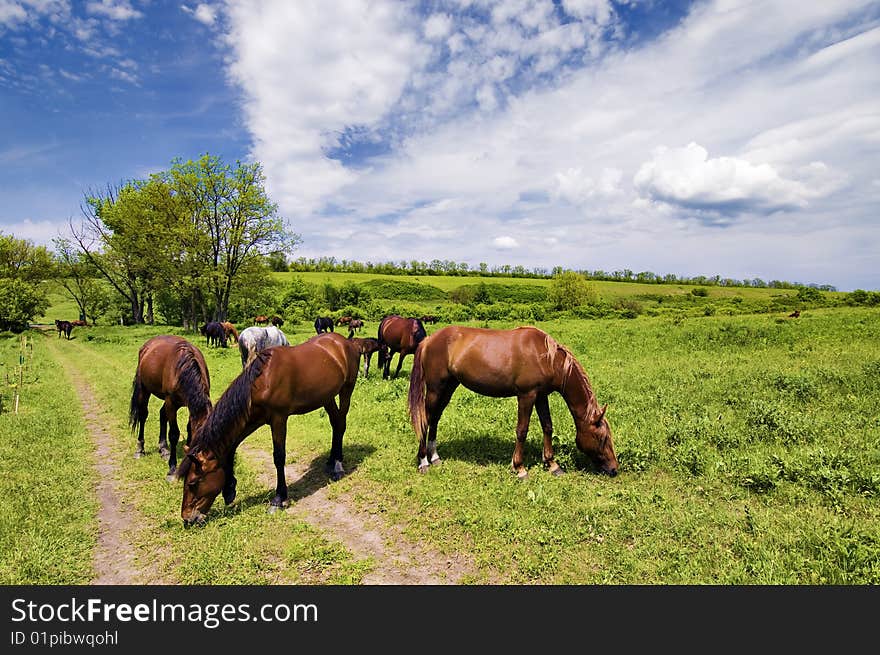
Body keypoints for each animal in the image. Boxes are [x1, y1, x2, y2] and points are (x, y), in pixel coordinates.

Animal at [128, 336, 212, 480]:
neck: (183, 369)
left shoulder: (190, 406)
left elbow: (189, 429)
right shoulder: (171, 403)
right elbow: (173, 434)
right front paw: (172, 469)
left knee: (162, 414)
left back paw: (164, 449)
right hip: (144, 389)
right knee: (143, 415)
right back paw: (140, 449)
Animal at [178, 334, 360, 528]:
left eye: (193, 483)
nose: (187, 518)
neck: (262, 381)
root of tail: (344, 342)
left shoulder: (278, 419)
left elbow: (279, 457)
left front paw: (279, 499)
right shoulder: (253, 419)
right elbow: (232, 447)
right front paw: (229, 489)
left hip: (346, 390)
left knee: (340, 423)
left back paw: (338, 466)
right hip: (326, 397)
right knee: (335, 423)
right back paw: (331, 460)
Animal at [408, 326, 620, 480]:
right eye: (602, 438)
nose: (614, 469)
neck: (545, 356)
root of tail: (428, 340)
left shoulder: (541, 396)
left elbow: (547, 426)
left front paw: (552, 465)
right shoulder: (526, 395)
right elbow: (522, 431)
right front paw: (519, 468)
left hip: (448, 387)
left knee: (435, 418)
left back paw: (434, 457)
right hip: (435, 389)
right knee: (426, 420)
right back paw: (423, 461)